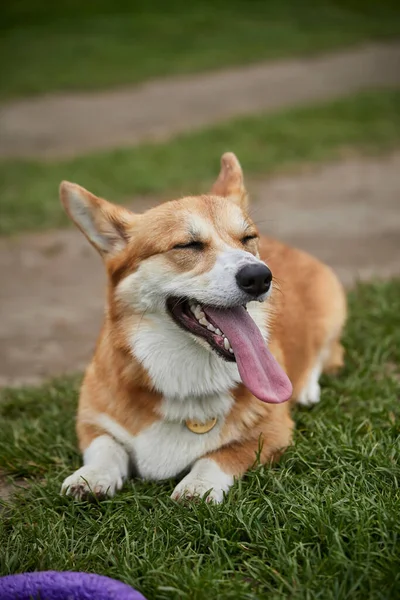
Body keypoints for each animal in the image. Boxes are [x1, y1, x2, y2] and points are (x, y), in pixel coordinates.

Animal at [61, 152, 346, 504]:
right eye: (188, 245)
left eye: (247, 238)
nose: (259, 276)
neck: (187, 377)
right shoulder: (92, 418)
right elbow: (105, 445)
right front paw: (91, 477)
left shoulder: (272, 432)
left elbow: (221, 454)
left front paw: (197, 486)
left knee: (327, 352)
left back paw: (305, 388)